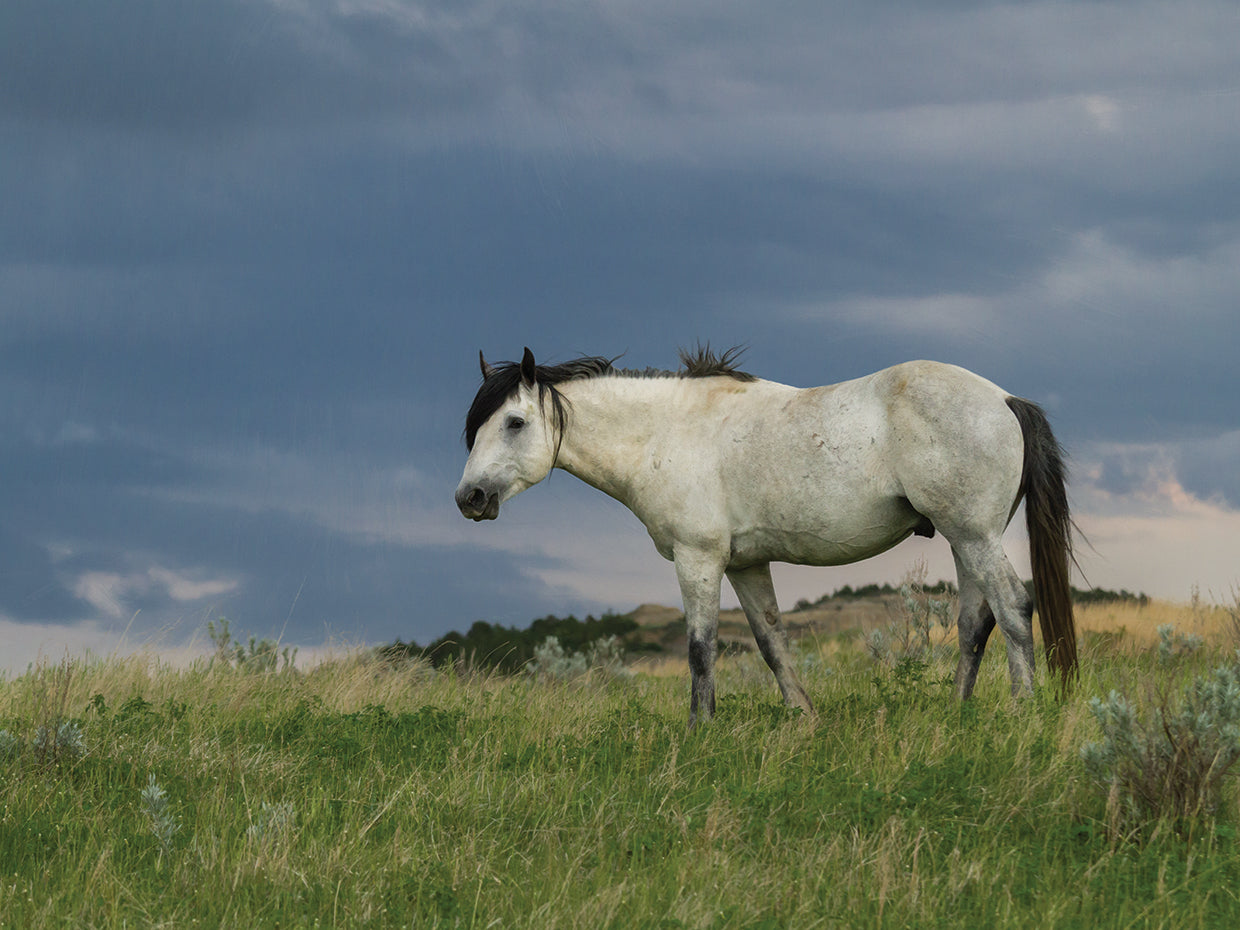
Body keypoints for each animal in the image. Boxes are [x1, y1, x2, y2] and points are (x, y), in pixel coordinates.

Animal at [455, 346, 1077, 726]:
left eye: (514, 422)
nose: (470, 499)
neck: (667, 432)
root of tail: (1004, 400)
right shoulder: (745, 564)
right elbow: (771, 640)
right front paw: (804, 718)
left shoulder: (698, 559)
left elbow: (700, 647)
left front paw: (700, 729)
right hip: (965, 539)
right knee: (975, 622)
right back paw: (957, 713)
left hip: (973, 536)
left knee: (1013, 607)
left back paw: (1024, 710)